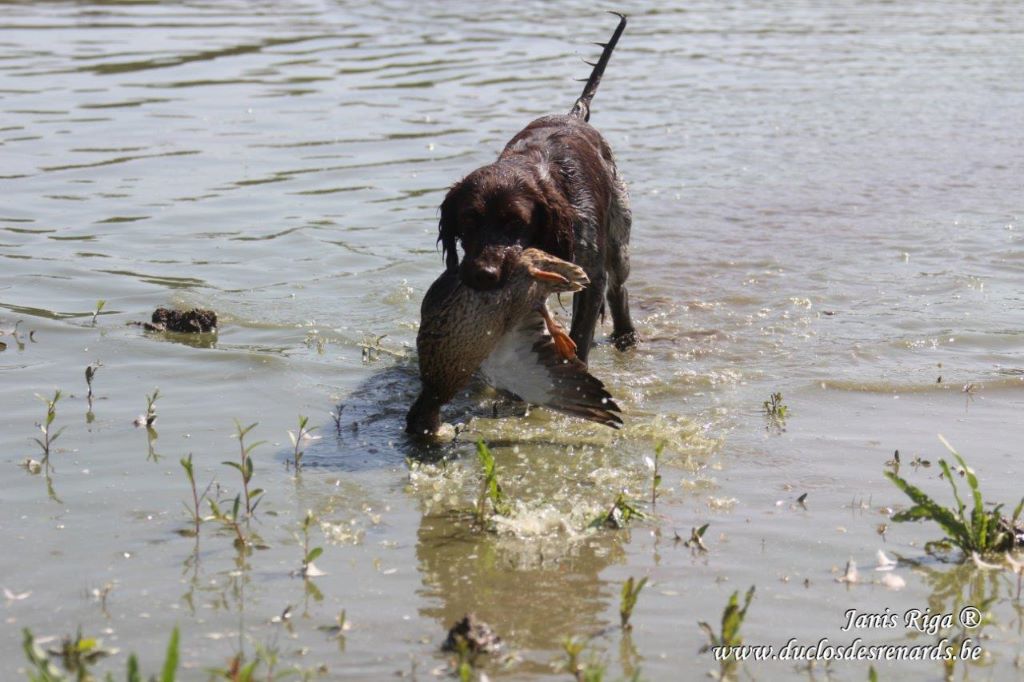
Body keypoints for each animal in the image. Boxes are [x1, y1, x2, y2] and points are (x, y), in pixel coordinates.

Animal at [436, 13, 634, 360]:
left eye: (516, 221)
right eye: (468, 219)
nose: (483, 274)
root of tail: (574, 115)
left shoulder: (592, 275)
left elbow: (581, 332)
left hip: (618, 237)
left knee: (619, 289)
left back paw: (626, 335)